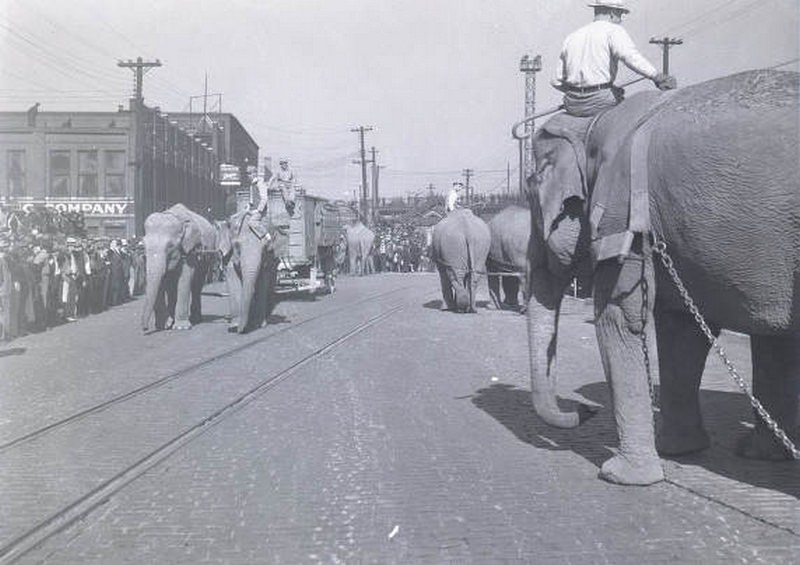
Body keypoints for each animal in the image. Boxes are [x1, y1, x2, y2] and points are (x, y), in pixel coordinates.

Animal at [140, 202, 216, 330]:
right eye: (143, 245)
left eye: (170, 246)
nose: (145, 329)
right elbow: (162, 281)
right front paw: (162, 326)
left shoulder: (190, 250)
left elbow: (184, 279)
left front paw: (181, 327)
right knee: (171, 288)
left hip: (207, 258)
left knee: (197, 285)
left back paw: (195, 319)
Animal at [524, 68, 800, 484]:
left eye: (531, 189)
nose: (585, 411)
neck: (598, 120)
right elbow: (682, 330)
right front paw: (682, 451)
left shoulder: (624, 212)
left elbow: (619, 318)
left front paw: (621, 475)